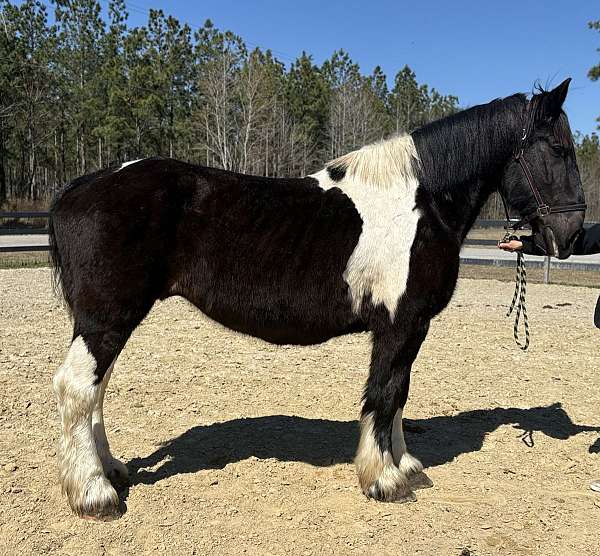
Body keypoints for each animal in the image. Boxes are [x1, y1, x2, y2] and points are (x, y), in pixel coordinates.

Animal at [48, 79, 584, 520]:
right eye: (558, 149)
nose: (571, 235)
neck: (420, 202)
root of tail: (78, 188)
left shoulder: (411, 327)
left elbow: (399, 395)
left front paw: (406, 465)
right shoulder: (400, 324)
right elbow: (385, 394)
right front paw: (384, 480)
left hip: (102, 321)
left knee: (96, 389)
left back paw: (112, 470)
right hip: (108, 319)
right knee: (77, 387)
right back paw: (95, 494)